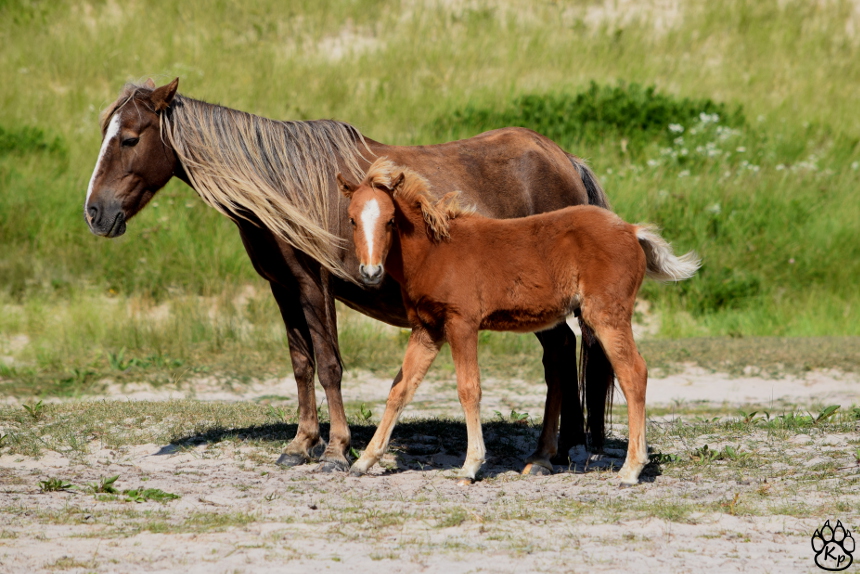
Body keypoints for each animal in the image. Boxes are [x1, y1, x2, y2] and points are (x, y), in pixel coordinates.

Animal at [84, 78, 615, 473]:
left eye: (130, 138)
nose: (94, 213)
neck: (285, 187)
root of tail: (565, 161)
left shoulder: (314, 286)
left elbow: (330, 365)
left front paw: (337, 449)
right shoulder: (283, 289)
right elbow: (302, 365)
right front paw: (301, 444)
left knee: (559, 356)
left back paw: (548, 454)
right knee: (562, 354)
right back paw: (559, 451)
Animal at [338, 158, 700, 484]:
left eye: (390, 221)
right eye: (352, 220)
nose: (371, 272)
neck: (433, 252)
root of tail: (632, 230)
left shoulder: (462, 323)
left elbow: (469, 388)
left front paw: (471, 466)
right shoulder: (427, 329)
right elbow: (400, 389)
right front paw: (364, 461)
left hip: (606, 314)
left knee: (634, 373)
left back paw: (631, 470)